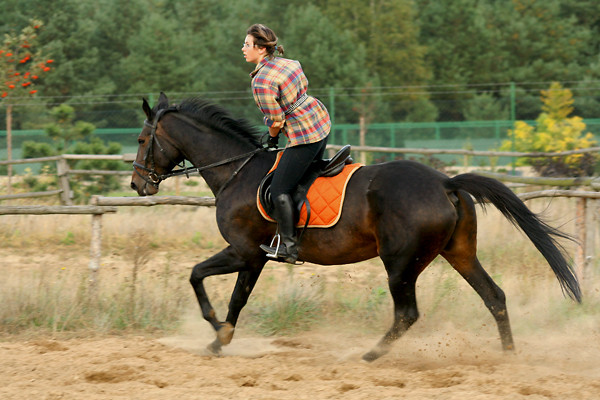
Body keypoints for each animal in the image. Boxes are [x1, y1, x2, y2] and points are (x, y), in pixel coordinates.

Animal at [131, 92, 580, 360]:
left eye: (141, 140)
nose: (138, 185)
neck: (236, 171)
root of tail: (444, 182)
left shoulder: (243, 252)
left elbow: (200, 278)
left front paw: (215, 331)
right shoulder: (254, 258)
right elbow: (234, 298)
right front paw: (219, 338)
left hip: (401, 263)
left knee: (407, 314)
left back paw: (368, 356)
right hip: (458, 253)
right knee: (494, 297)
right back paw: (507, 357)